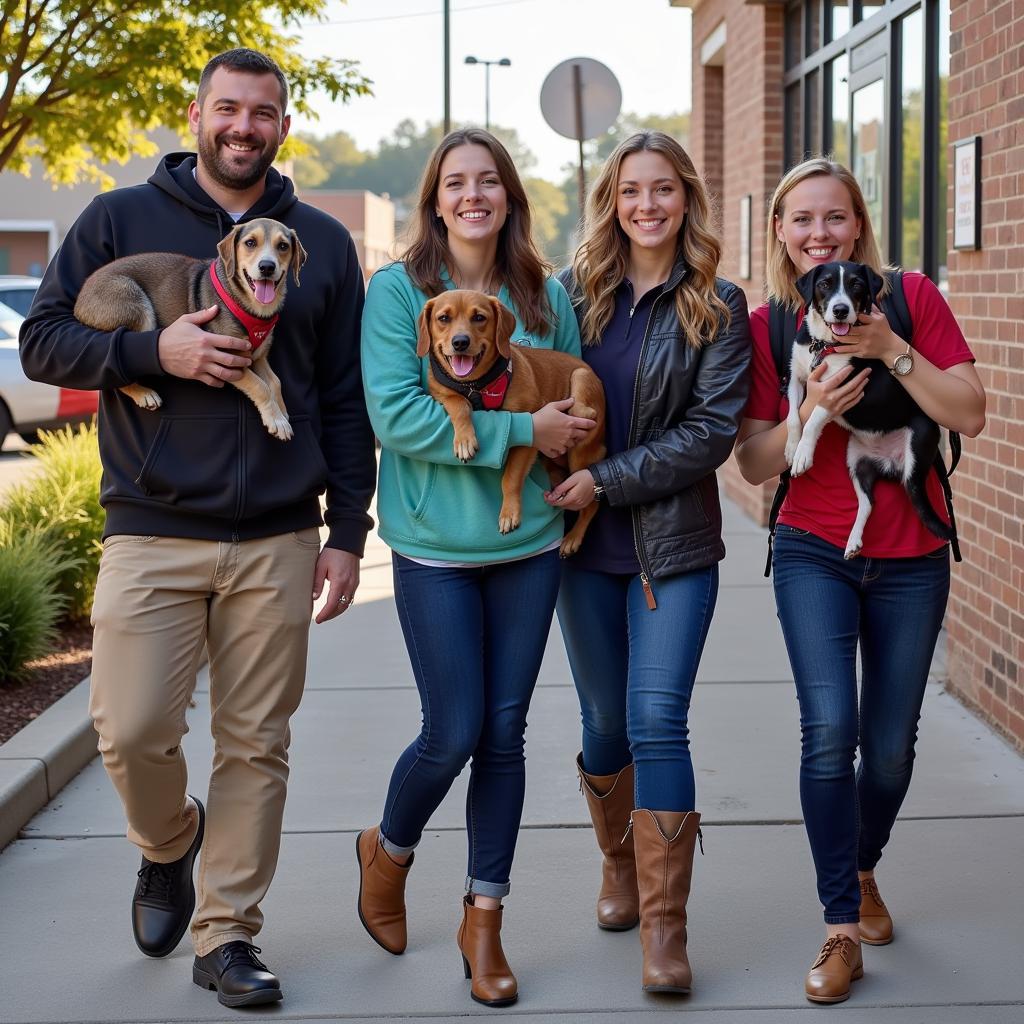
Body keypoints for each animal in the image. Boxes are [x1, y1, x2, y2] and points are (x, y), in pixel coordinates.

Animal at [73, 218, 303, 438]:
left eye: (283, 246)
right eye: (250, 243)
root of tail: (79, 299)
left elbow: (275, 382)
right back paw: (143, 394)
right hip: (135, 303)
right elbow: (261, 386)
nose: (267, 267)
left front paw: (281, 411)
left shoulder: (257, 356)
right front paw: (276, 420)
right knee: (118, 373)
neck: (250, 305)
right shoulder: (230, 359)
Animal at [417, 288, 602, 561]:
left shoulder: (531, 432)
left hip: (582, 404)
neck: (478, 385)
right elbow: (458, 404)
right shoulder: (442, 392)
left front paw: (509, 513)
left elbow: (511, 477)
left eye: (479, 317)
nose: (460, 342)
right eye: (443, 318)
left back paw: (573, 538)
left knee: (591, 502)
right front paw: (464, 440)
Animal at [782, 260, 950, 557]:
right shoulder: (798, 378)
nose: (840, 310)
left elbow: (812, 420)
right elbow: (793, 417)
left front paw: (803, 454)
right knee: (868, 502)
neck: (825, 344)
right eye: (824, 283)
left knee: (914, 495)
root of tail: (892, 463)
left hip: (919, 440)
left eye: (856, 284)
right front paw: (792, 448)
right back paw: (853, 541)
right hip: (857, 463)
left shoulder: (838, 389)